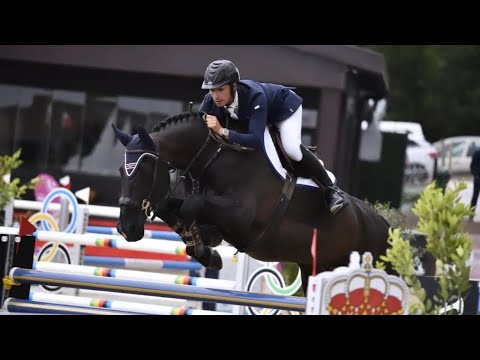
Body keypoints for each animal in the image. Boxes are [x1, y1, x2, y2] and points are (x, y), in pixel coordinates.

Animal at [113, 112, 390, 292]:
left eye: (145, 169)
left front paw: (206, 245)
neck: (215, 158)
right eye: (119, 171)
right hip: (317, 268)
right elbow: (171, 207)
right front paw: (203, 246)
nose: (126, 229)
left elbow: (190, 206)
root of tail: (387, 226)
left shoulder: (241, 218)